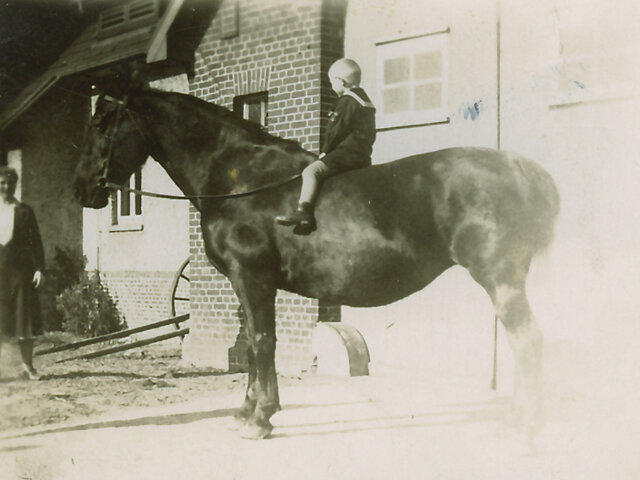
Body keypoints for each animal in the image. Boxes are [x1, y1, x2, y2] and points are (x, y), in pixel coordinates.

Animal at [73, 86, 560, 440]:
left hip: (500, 279)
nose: (80, 189)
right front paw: (247, 411)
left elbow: (262, 342)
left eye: (100, 122)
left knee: (529, 341)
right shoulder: (245, 284)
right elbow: (252, 344)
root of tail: (517, 166)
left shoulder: (252, 279)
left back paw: (527, 421)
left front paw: (260, 418)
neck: (239, 178)